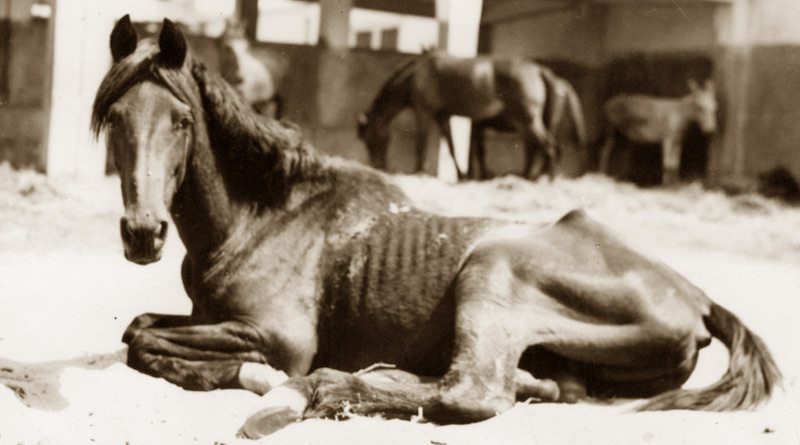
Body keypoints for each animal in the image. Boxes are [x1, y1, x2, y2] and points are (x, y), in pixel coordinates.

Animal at [357, 52, 572, 181]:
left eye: (370, 139)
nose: (377, 166)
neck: (416, 76)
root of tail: (539, 69)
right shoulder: (443, 117)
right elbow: (452, 148)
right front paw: (462, 176)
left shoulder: (424, 113)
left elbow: (421, 144)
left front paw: (418, 172)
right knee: (547, 147)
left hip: (528, 121)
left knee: (549, 147)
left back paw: (546, 180)